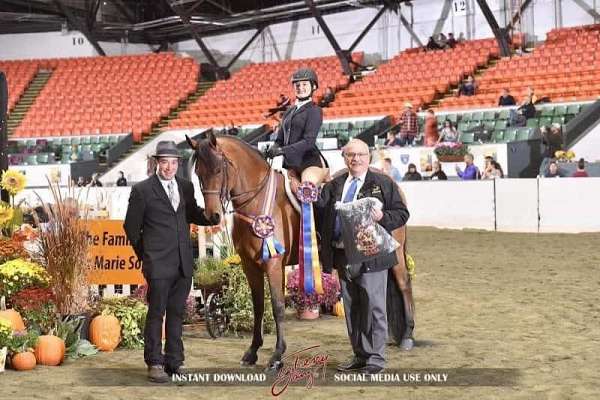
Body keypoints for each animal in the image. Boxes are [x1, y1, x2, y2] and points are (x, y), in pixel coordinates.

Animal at [188, 130, 418, 368]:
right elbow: (258, 306)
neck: (258, 200)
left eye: (218, 170)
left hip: (395, 252)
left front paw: (277, 356)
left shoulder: (273, 264)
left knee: (404, 285)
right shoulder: (249, 265)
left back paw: (407, 337)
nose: (212, 216)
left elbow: (278, 306)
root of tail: (391, 182)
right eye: (198, 173)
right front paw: (252, 352)